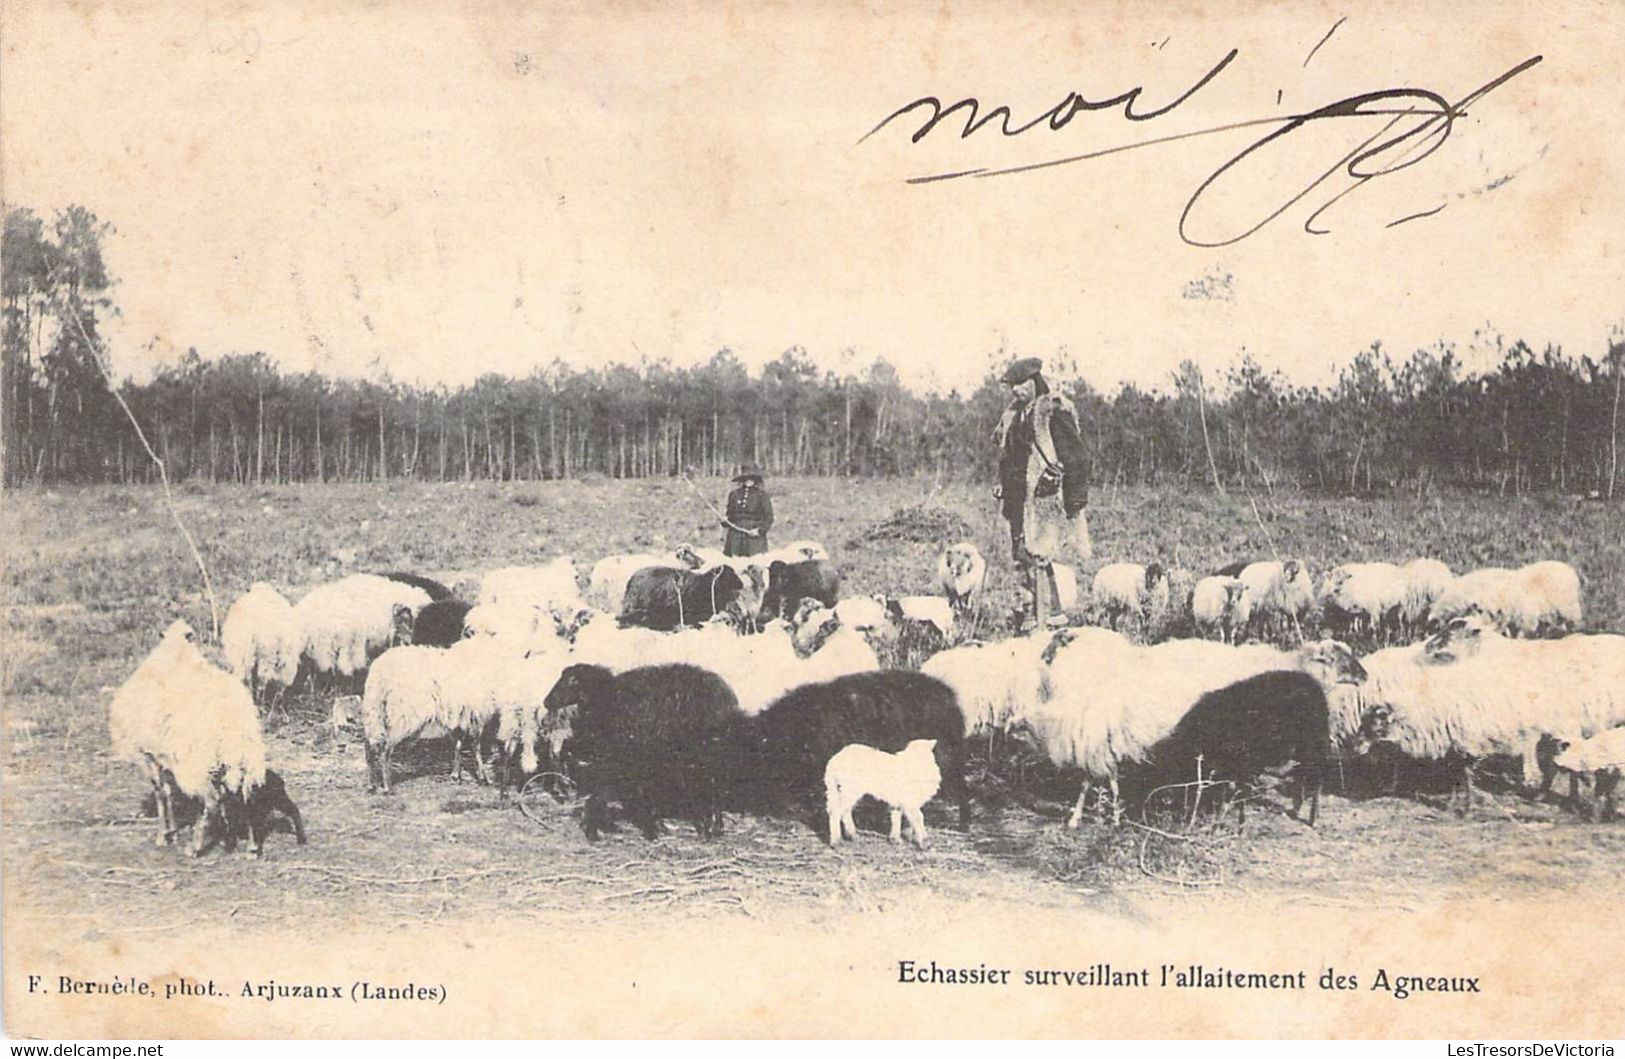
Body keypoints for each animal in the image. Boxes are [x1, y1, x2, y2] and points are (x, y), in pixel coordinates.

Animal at [108, 620, 268, 851]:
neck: (177, 651)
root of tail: (229, 716)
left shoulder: (148, 755)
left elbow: (161, 792)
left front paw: (164, 834)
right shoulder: (164, 755)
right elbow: (168, 792)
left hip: (198, 761)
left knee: (213, 799)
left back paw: (195, 846)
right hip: (242, 753)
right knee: (246, 793)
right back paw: (251, 847)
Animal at [1144, 669, 1332, 828]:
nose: (1156, 816)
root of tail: (1312, 682)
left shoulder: (1243, 765)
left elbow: (1235, 794)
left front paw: (1233, 825)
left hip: (1314, 746)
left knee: (1316, 781)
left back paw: (1312, 818)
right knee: (1303, 777)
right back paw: (1297, 810)